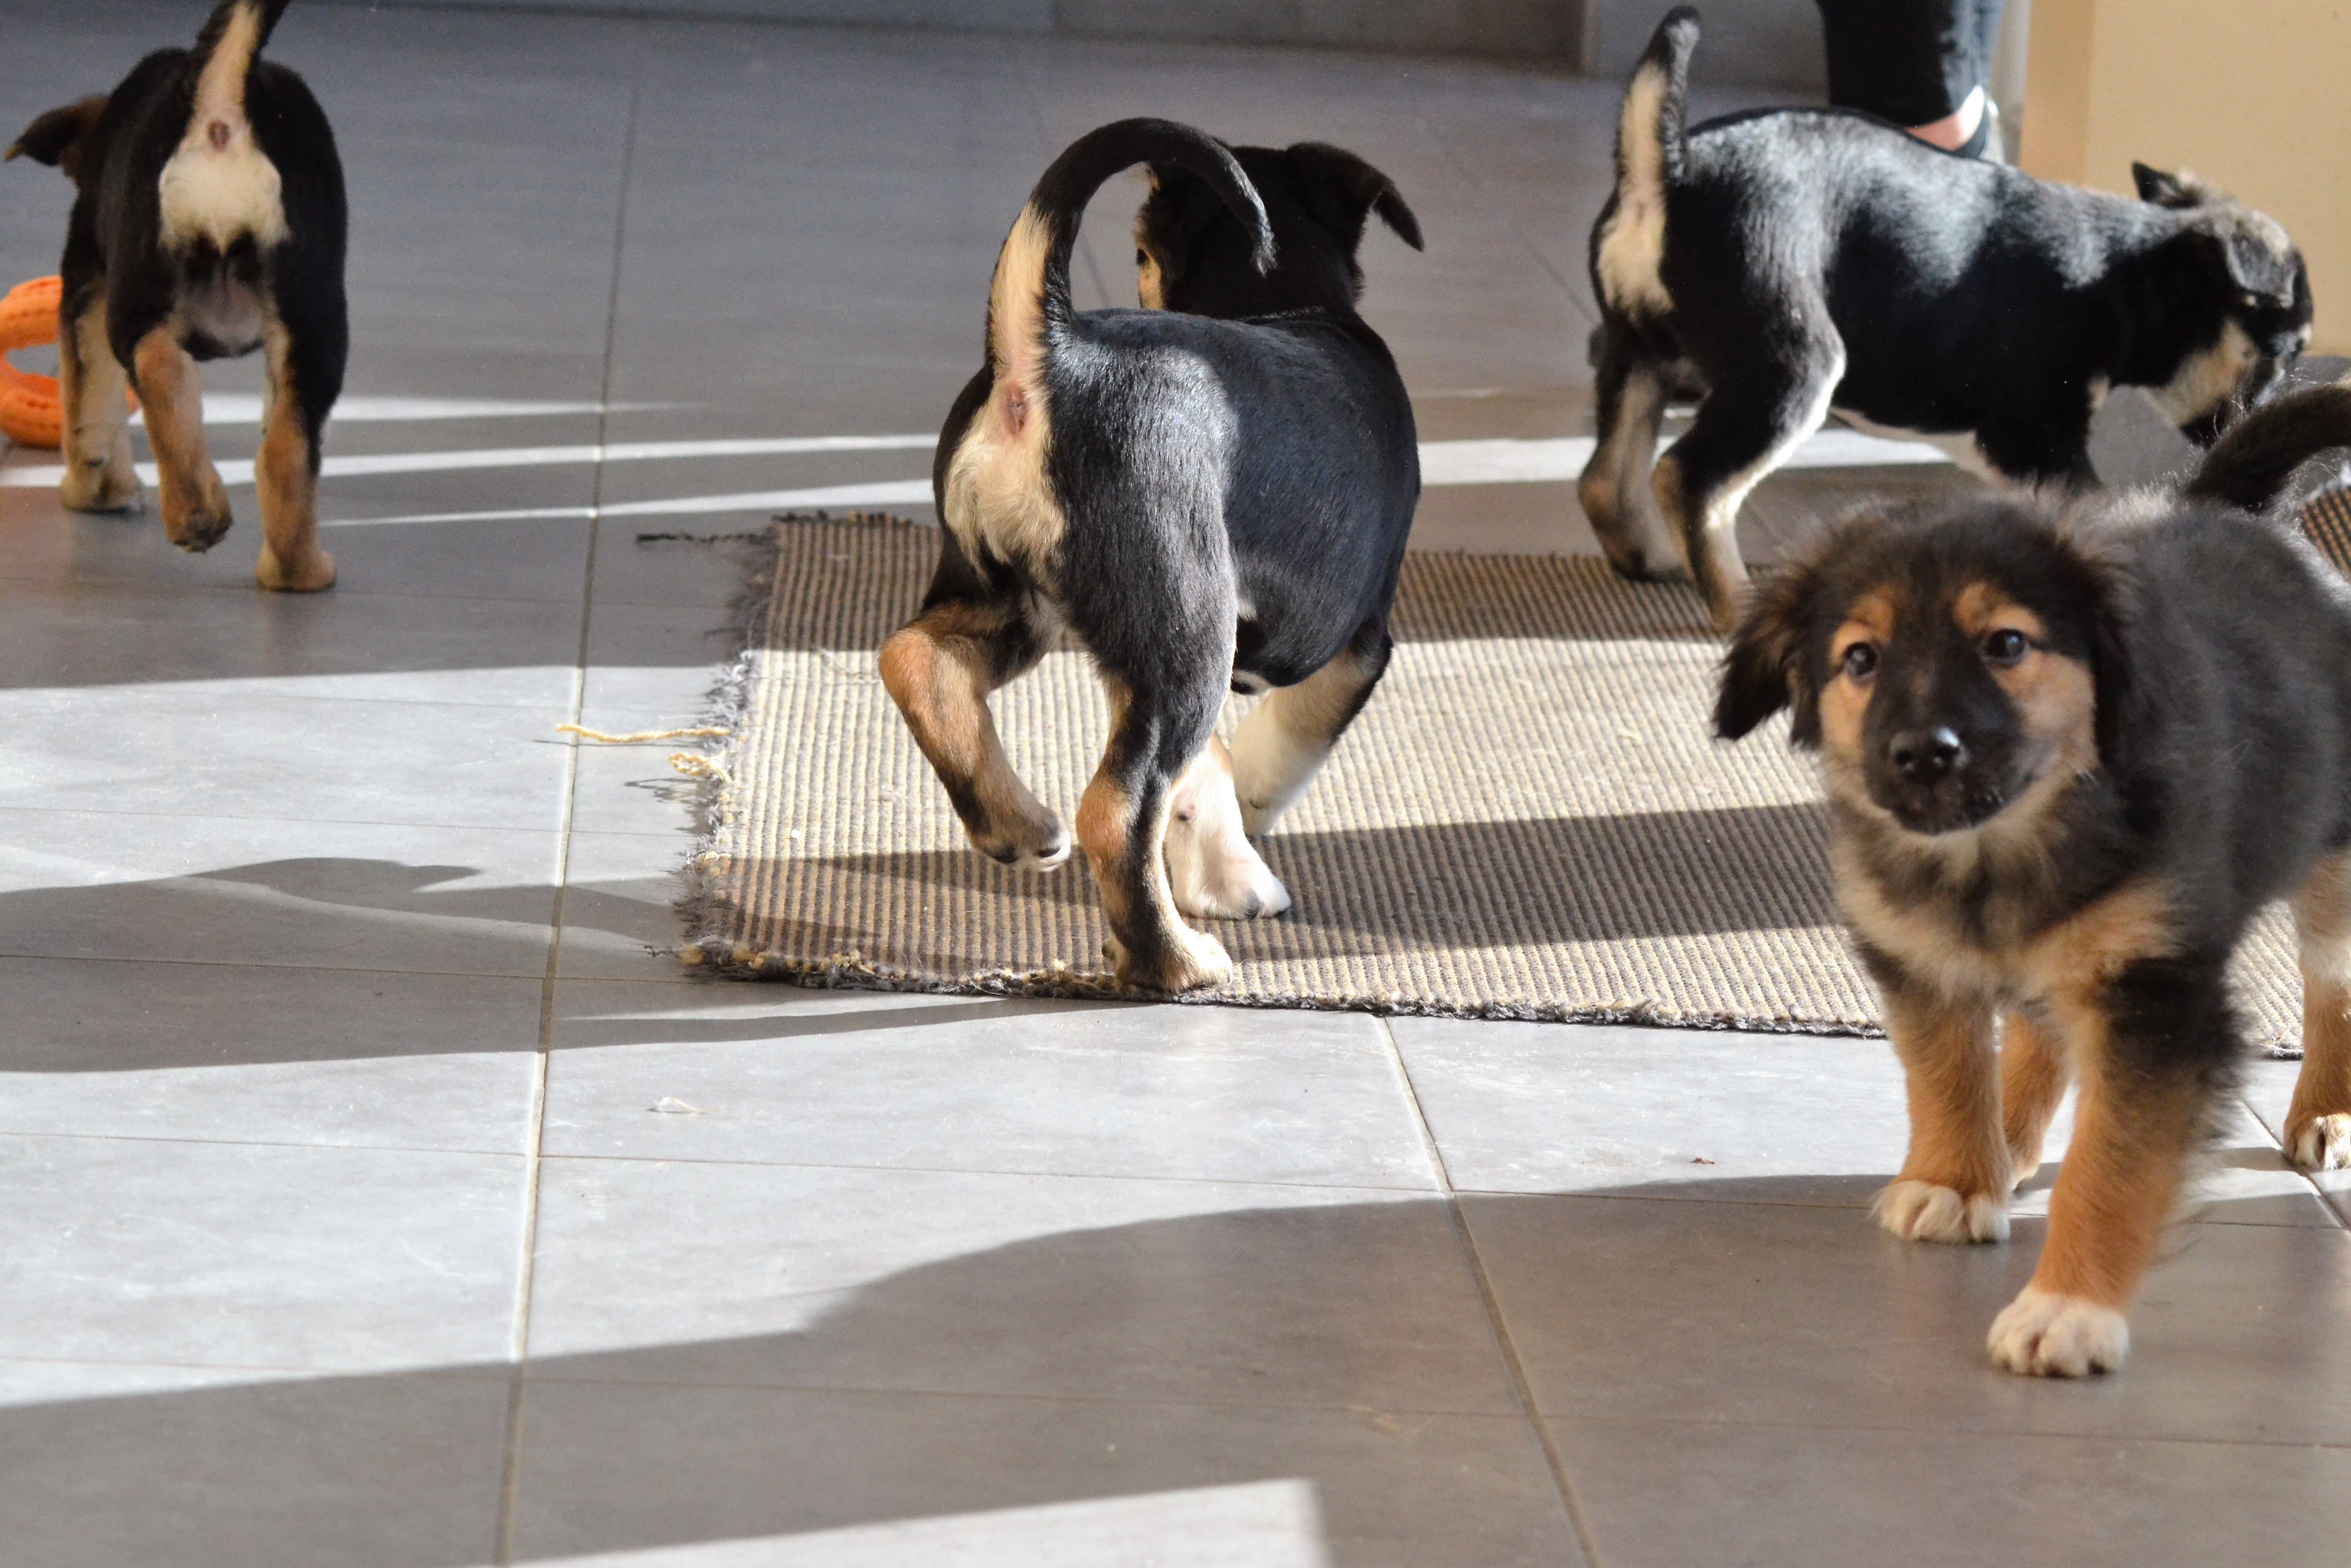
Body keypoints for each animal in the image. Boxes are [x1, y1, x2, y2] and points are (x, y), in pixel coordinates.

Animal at [6, 0, 346, 591]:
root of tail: (219, 116)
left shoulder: (86, 284)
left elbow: (85, 398)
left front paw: (97, 491)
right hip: (308, 318)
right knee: (272, 439)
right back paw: (277, 559)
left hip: (149, 299)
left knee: (166, 372)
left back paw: (214, 522)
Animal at [878, 118, 1423, 993]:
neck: (1279, 298)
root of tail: (1051, 355)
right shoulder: (1352, 642)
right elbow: (1274, 750)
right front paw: (1245, 857)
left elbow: (1206, 772)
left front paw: (1222, 868)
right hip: (1187, 635)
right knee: (1116, 808)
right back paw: (1173, 960)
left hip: (1025, 599)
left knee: (917, 659)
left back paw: (1016, 826)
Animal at [1582, 7, 2312, 631]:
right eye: (2286, 353)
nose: (2253, 422)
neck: (2130, 272)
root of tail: (1669, 172)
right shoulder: (2039, 435)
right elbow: (2100, 507)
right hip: (1792, 370)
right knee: (1690, 480)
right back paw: (1737, 606)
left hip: (1639, 354)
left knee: (1606, 476)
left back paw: (1650, 561)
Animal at [1713, 381, 2351, 1376]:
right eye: (1860, 659)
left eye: (2006, 644)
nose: (1922, 754)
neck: (1998, 850)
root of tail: (2236, 507)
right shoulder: (1917, 955)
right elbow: (1944, 1067)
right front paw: (1953, 1177)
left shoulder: (2154, 996)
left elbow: (2110, 1162)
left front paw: (2069, 1307)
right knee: (2040, 1019)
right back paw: (2009, 1137)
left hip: (2332, 852)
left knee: (2332, 980)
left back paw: (2327, 1109)